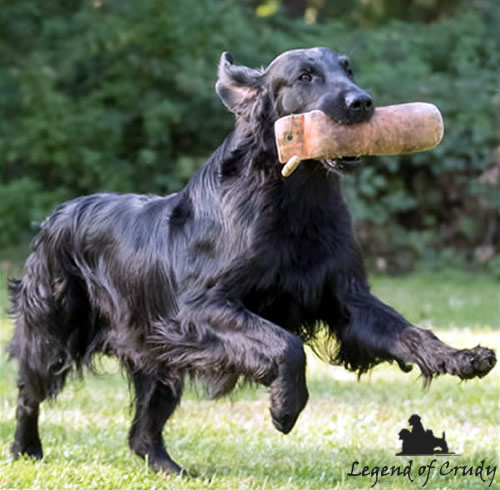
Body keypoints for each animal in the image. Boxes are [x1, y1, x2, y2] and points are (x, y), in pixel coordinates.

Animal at [8, 47, 496, 472]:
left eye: (348, 69)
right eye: (305, 76)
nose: (362, 102)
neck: (295, 199)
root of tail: (57, 213)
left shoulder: (348, 300)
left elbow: (410, 333)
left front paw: (463, 357)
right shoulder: (200, 309)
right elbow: (286, 344)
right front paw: (286, 407)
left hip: (155, 353)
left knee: (143, 431)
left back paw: (170, 468)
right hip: (52, 329)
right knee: (29, 393)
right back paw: (25, 450)